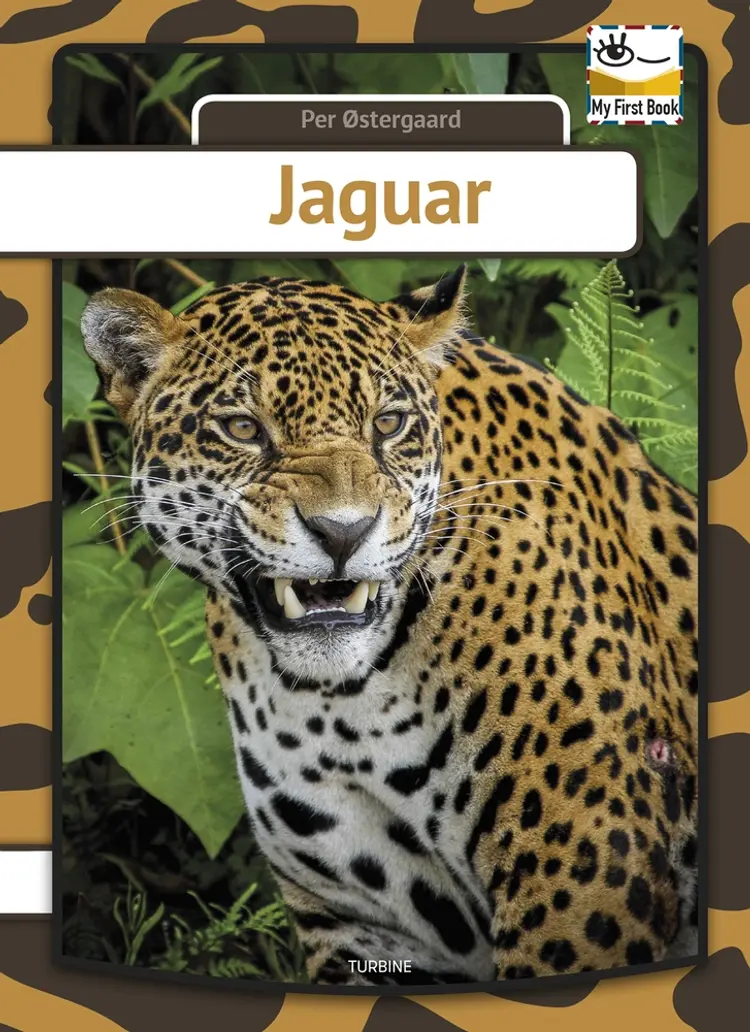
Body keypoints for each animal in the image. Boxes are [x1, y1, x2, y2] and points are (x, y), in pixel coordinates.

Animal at [80, 266, 699, 987]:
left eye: (389, 423)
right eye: (240, 427)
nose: (343, 532)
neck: (343, 707)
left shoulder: (588, 868)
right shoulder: (359, 922)